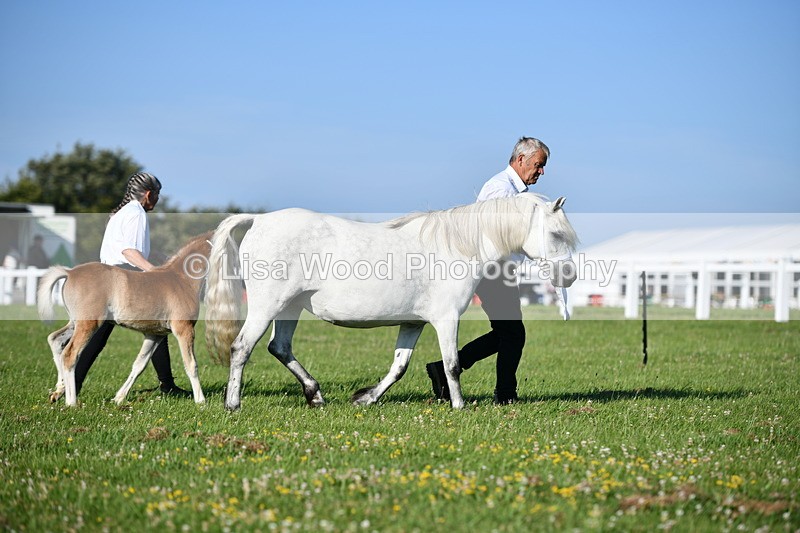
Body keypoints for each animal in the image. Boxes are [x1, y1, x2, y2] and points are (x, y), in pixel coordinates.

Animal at [37, 232, 213, 406]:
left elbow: (139, 365)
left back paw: (59, 389)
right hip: (89, 323)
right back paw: (71, 402)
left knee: (55, 339)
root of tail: (70, 273)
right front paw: (201, 401)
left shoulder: (155, 334)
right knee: (70, 354)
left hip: (76, 323)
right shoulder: (184, 329)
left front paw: (119, 398)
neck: (181, 281)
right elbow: (191, 364)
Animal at [204, 193, 578, 410]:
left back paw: (315, 395)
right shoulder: (447, 319)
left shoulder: (412, 323)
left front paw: (366, 398)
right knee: (242, 347)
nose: (569, 276)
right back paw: (233, 404)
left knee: (279, 347)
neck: (456, 246)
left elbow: (399, 366)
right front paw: (459, 405)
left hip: (290, 308)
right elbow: (453, 364)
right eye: (556, 234)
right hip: (267, 306)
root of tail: (259, 220)